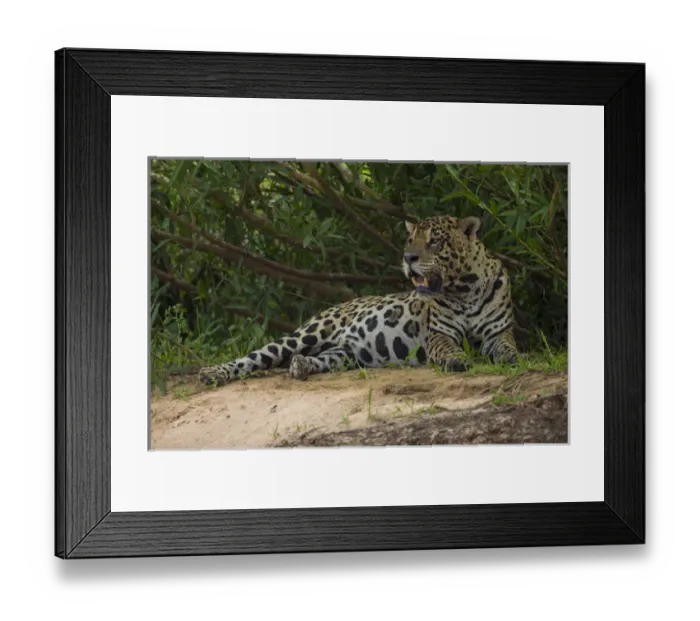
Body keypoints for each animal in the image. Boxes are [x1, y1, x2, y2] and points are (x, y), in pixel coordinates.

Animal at [198, 214, 519, 386]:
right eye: (409, 241)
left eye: (435, 241)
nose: (408, 258)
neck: (465, 291)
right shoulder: (439, 334)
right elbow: (448, 347)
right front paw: (456, 359)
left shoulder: (499, 332)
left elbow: (506, 347)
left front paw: (513, 357)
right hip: (309, 333)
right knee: (254, 357)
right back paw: (212, 373)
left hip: (344, 353)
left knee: (322, 358)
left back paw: (301, 366)